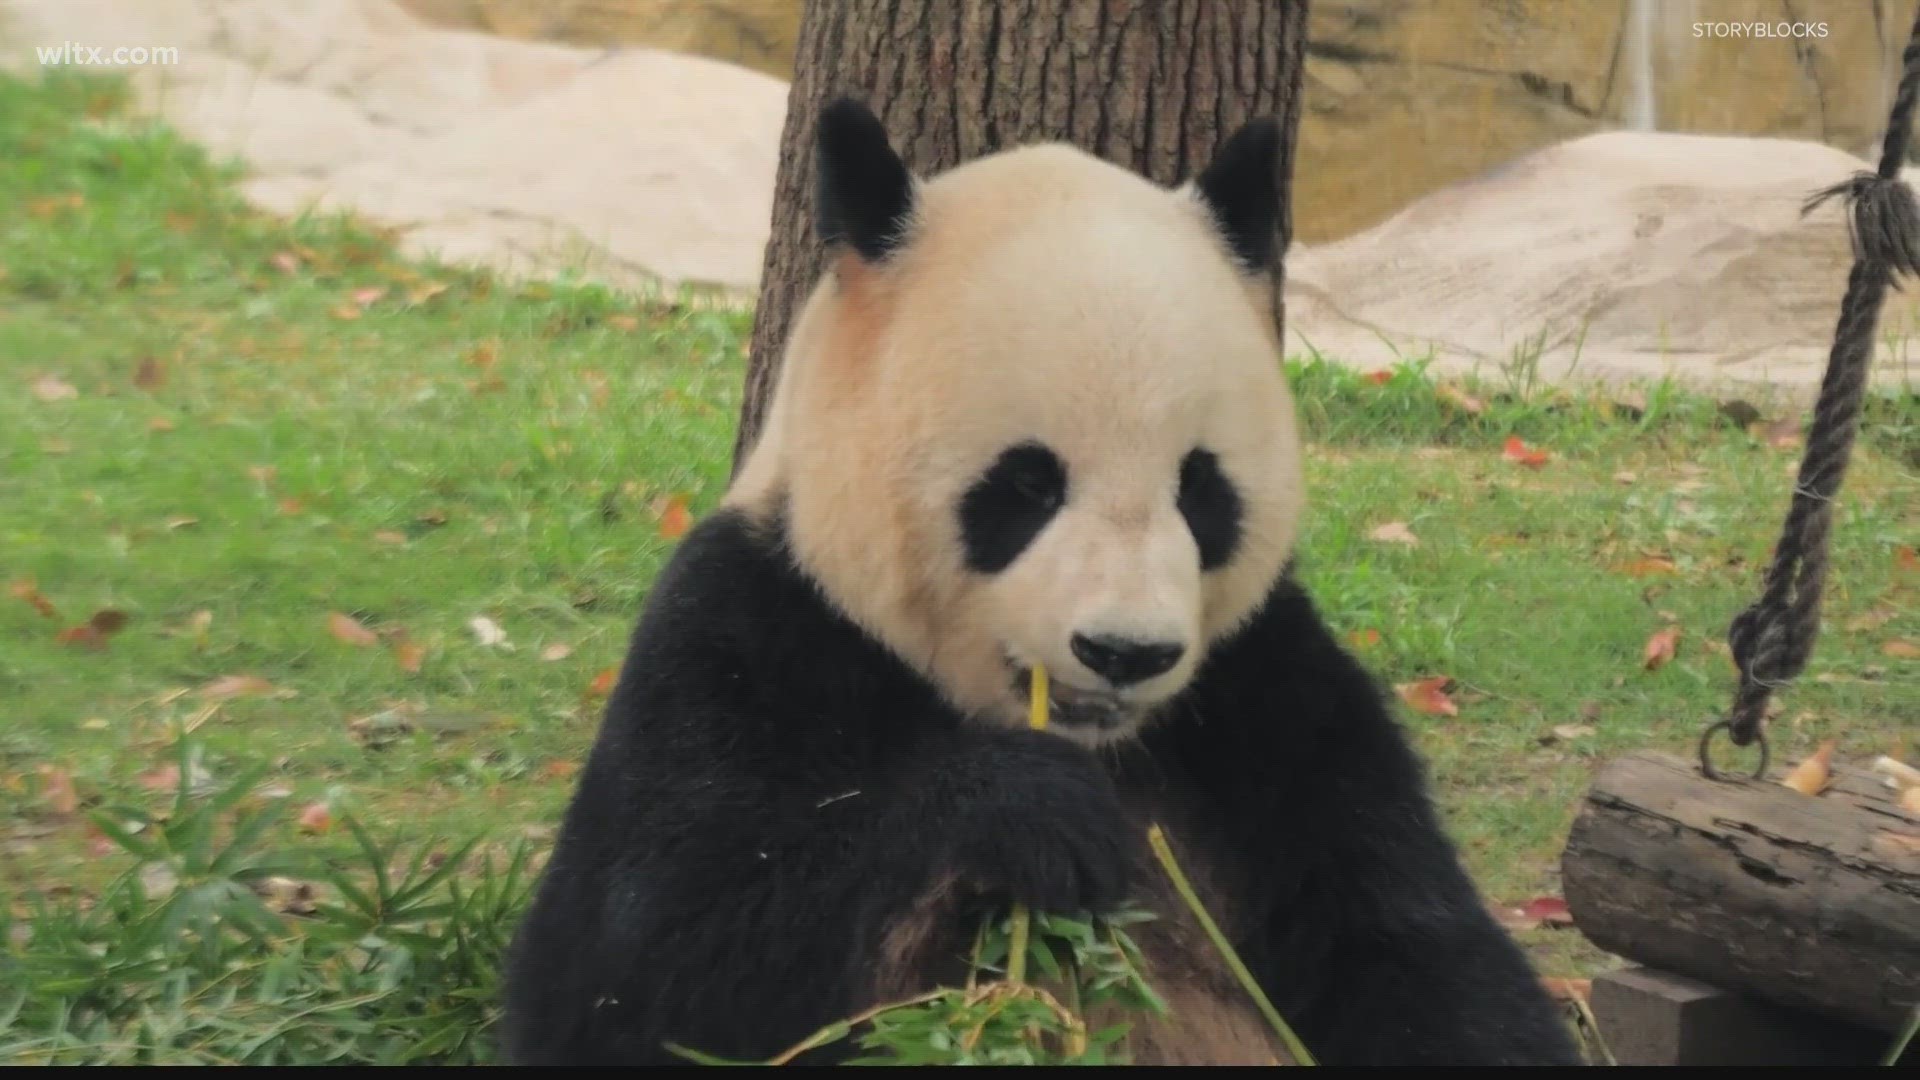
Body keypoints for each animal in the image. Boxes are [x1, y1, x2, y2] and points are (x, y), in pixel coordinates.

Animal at [500, 98, 1581, 1067]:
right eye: (1026, 484)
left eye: (1200, 487)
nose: (1125, 653)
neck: (1094, 744)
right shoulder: (751, 632)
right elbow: (635, 972)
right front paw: (1025, 812)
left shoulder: (1268, 701)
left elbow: (1417, 952)